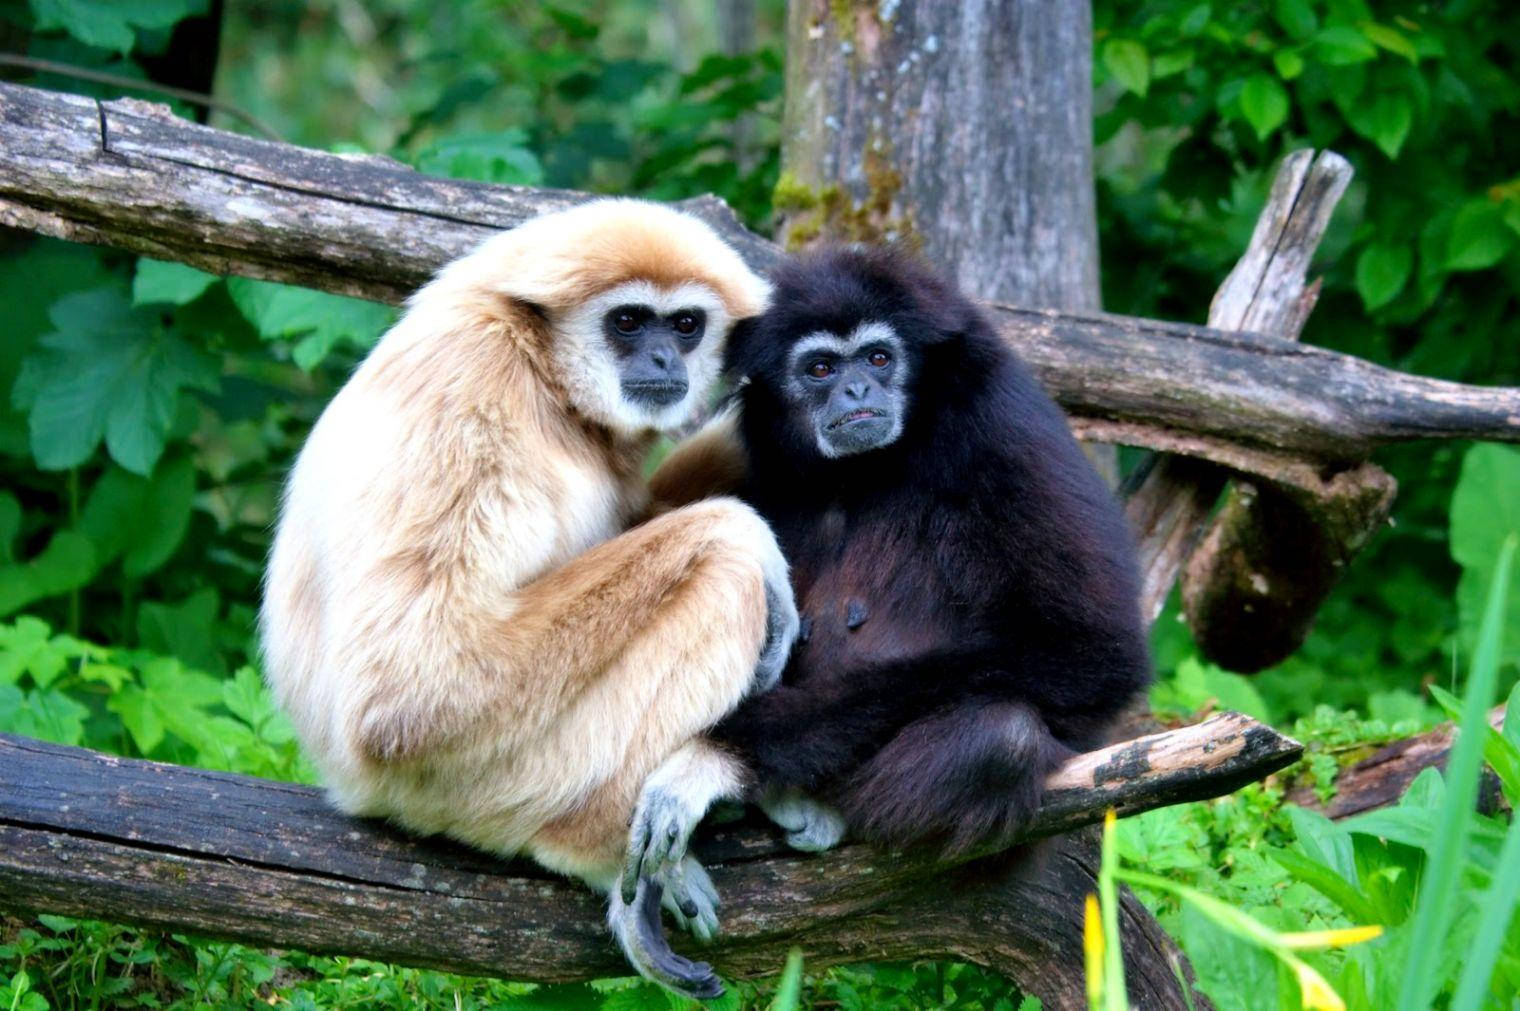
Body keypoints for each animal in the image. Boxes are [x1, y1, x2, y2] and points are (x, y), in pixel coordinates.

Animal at [259, 198, 799, 1000]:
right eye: (629, 322)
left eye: (685, 325)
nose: (663, 361)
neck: (543, 373)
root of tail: (348, 789)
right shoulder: (471, 392)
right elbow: (412, 688)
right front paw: (749, 531)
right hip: (482, 781)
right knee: (724, 578)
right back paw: (602, 853)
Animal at [649, 245, 1151, 867]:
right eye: (821, 369)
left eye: (879, 358)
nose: (858, 391)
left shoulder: (1000, 420)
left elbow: (1090, 650)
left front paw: (719, 755)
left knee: (1002, 737)